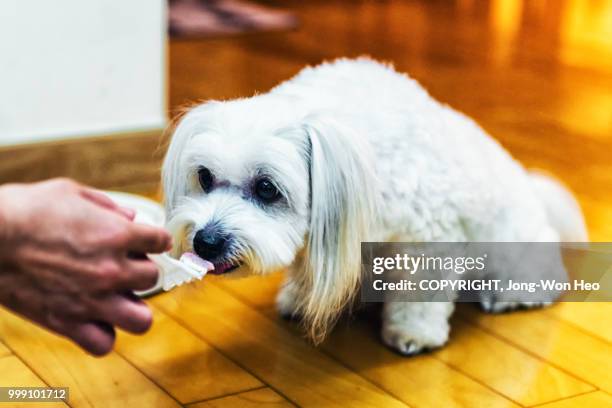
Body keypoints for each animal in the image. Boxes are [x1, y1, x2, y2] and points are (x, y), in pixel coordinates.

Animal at [163, 59, 588, 356]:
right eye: (204, 177)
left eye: (267, 188)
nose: (205, 242)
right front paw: (301, 300)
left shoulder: (430, 240)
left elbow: (421, 294)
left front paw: (413, 333)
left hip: (513, 247)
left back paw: (515, 293)